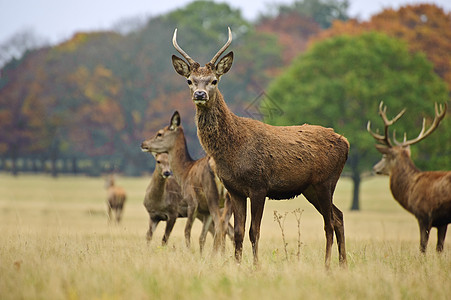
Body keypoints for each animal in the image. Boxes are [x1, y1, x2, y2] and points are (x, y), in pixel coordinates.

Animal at [141, 110, 233, 253]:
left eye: (159, 133)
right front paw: (201, 254)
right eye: (158, 161)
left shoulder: (192, 202)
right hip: (230, 199)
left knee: (220, 226)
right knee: (227, 228)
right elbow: (202, 237)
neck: (185, 172)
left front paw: (190, 252)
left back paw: (215, 255)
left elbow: (186, 231)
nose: (143, 144)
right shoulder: (205, 211)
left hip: (212, 194)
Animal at [170, 27, 350, 268]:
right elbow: (238, 232)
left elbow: (254, 231)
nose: (200, 94)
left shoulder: (259, 185)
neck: (232, 150)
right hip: (310, 188)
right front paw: (237, 265)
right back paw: (343, 263)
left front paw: (255, 266)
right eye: (190, 81)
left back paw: (328, 265)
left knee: (329, 223)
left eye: (214, 80)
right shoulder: (234, 189)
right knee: (338, 217)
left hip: (326, 181)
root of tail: (346, 142)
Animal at [370, 101, 450, 253]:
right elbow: (439, 248)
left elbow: (423, 246)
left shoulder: (424, 215)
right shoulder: (442, 222)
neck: (410, 190)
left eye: (384, 156)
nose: (375, 168)